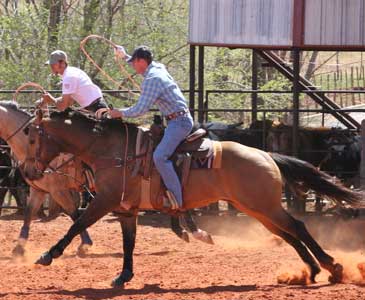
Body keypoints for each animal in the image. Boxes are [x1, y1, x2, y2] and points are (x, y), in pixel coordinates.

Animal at [24, 108, 362, 286]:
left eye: (32, 138)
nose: (28, 171)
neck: (114, 151)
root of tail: (266, 154)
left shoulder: (103, 201)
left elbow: (76, 225)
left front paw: (47, 255)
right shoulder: (126, 210)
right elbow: (128, 243)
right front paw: (124, 276)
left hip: (264, 206)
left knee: (299, 228)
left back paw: (332, 267)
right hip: (256, 209)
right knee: (289, 234)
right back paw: (313, 270)